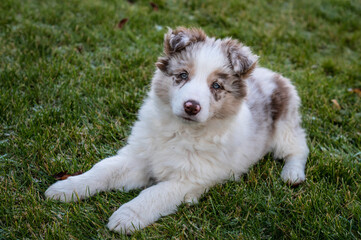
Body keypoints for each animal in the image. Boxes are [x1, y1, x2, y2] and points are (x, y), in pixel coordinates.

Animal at [45, 26, 308, 234]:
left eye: (216, 85)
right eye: (182, 75)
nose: (191, 106)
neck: (180, 131)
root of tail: (273, 75)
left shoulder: (190, 180)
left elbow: (154, 194)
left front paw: (126, 217)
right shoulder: (140, 156)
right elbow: (104, 169)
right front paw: (66, 188)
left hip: (285, 126)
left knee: (299, 149)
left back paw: (292, 175)